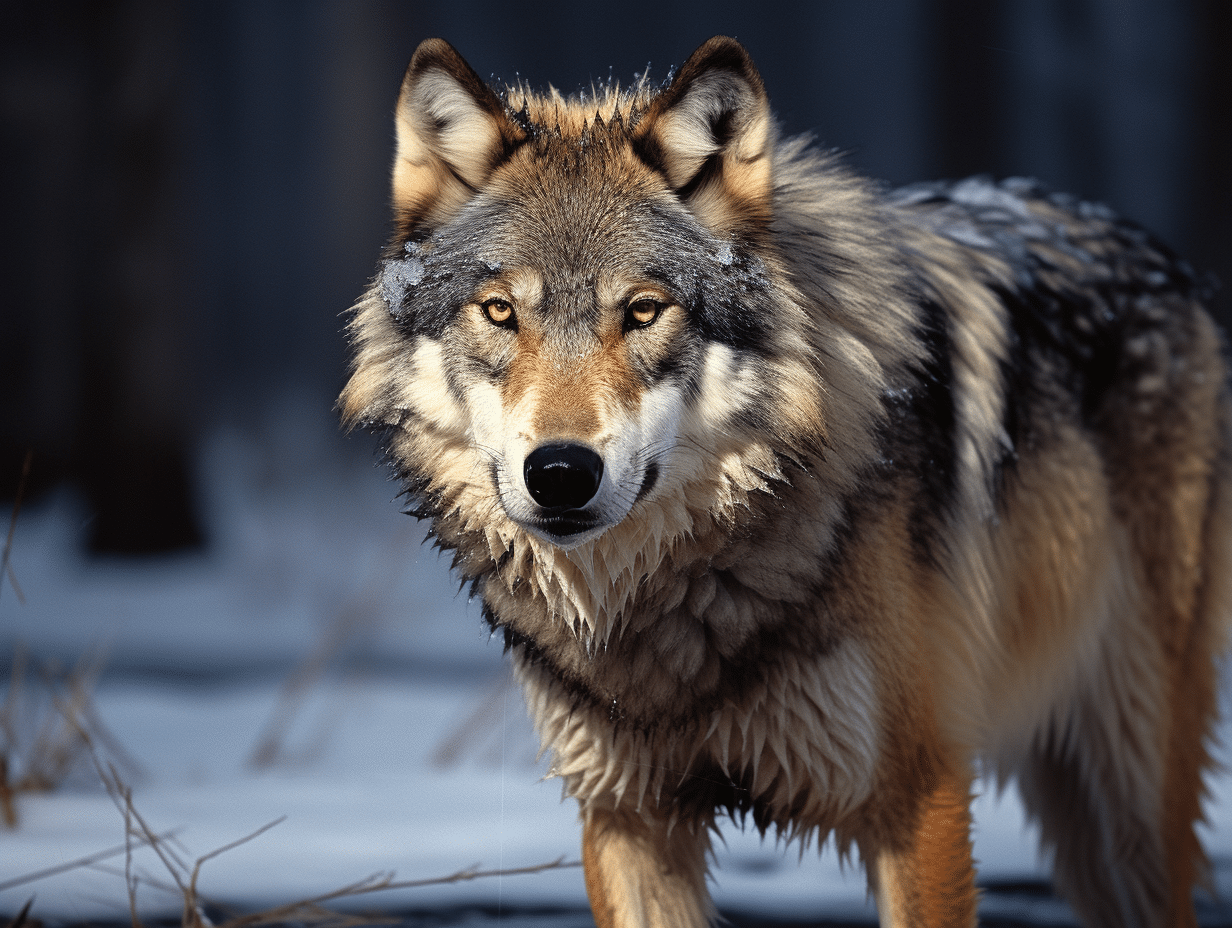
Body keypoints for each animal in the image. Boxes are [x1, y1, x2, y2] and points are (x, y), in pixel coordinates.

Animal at [340, 35, 1232, 928]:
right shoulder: (629, 817)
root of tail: (1157, 254)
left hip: (1132, 791)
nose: (560, 473)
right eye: (499, 311)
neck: (675, 607)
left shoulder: (920, 801)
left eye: (643, 311)